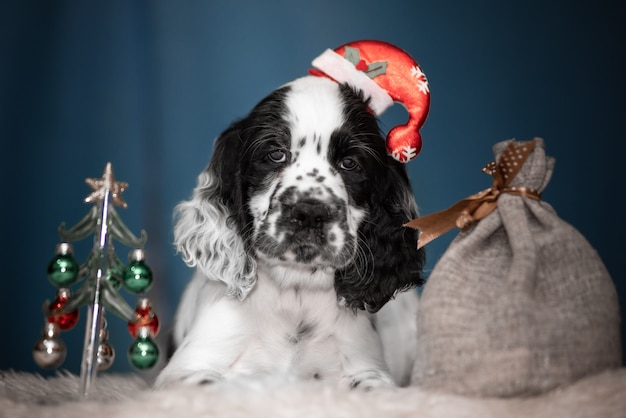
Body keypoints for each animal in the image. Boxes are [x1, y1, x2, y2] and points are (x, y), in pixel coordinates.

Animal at [156, 74, 424, 388]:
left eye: (349, 163)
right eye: (275, 154)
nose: (309, 213)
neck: (295, 293)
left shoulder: (367, 369)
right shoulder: (187, 372)